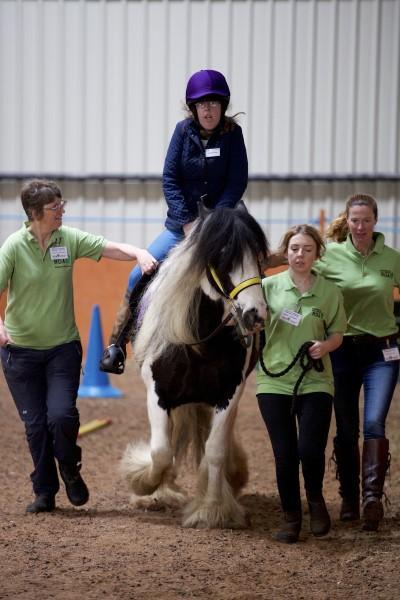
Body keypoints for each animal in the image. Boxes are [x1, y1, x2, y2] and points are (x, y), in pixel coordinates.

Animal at [119, 204, 268, 528]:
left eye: (259, 254)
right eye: (222, 255)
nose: (256, 315)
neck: (200, 341)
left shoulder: (229, 395)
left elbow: (215, 451)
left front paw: (212, 509)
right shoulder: (158, 395)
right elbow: (161, 451)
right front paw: (144, 484)